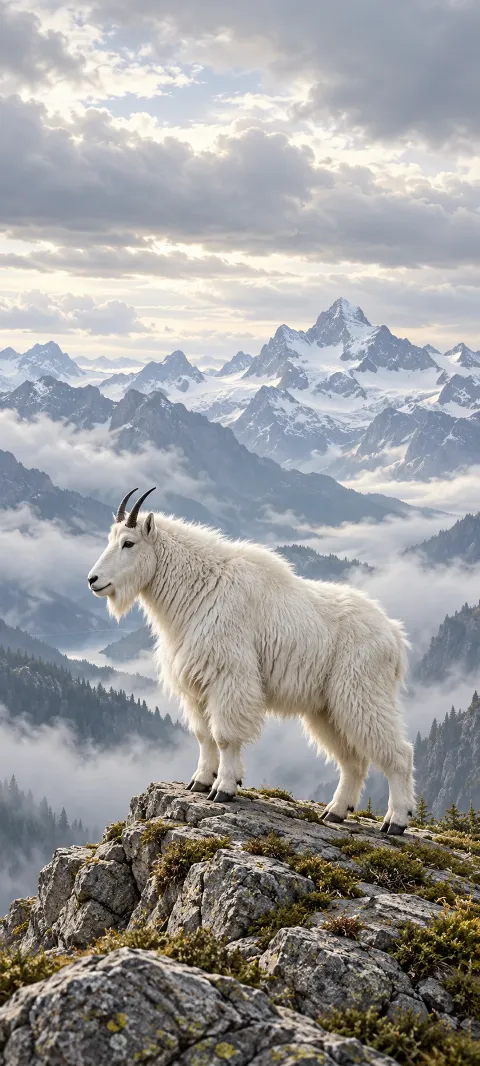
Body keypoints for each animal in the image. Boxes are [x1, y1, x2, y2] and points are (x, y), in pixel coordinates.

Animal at [88, 488, 414, 834]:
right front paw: (200, 782)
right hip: (327, 708)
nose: (93, 580)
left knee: (398, 753)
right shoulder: (197, 685)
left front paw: (224, 788)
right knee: (353, 760)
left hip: (361, 691)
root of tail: (395, 637)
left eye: (128, 543)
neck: (200, 589)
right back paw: (336, 811)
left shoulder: (229, 675)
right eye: (111, 538)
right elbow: (203, 735)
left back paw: (396, 819)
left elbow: (224, 736)